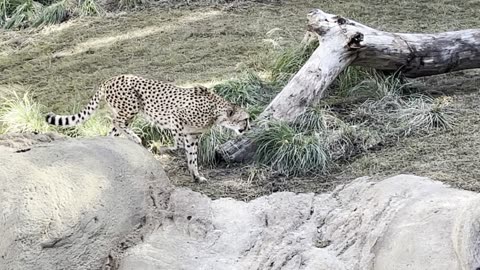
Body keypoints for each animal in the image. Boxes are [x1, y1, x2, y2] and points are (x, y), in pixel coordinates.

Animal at [46, 75, 251, 182]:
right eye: (245, 119)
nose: (249, 127)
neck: (216, 113)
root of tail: (112, 78)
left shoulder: (193, 137)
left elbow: (192, 157)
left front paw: (196, 176)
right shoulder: (175, 117)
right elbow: (178, 144)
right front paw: (161, 148)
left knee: (113, 129)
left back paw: (117, 143)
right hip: (131, 106)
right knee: (116, 121)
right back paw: (136, 138)